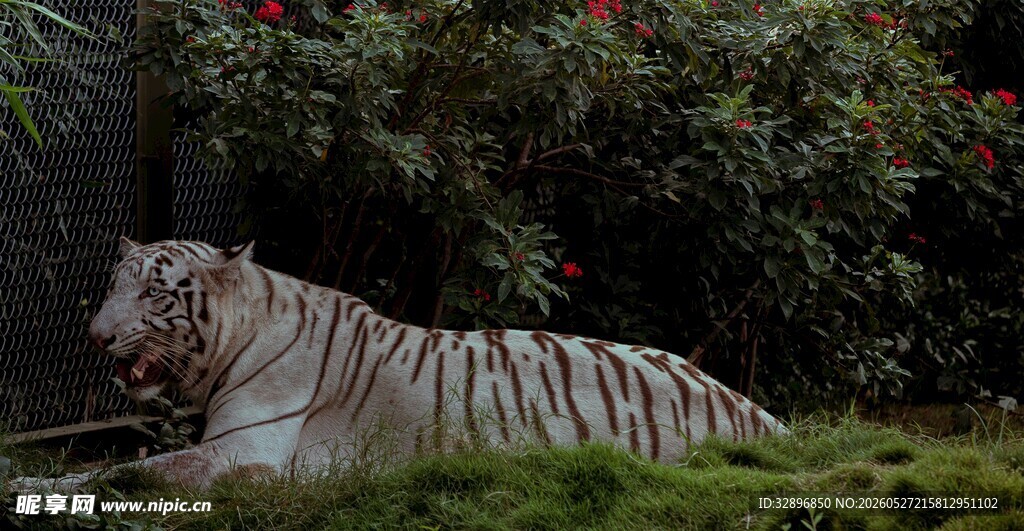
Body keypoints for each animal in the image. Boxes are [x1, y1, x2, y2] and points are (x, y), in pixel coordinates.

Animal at [12, 238, 787, 491]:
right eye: (114, 285)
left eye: (152, 292)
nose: (94, 337)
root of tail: (760, 414)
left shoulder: (243, 453)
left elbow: (125, 470)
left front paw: (28, 483)